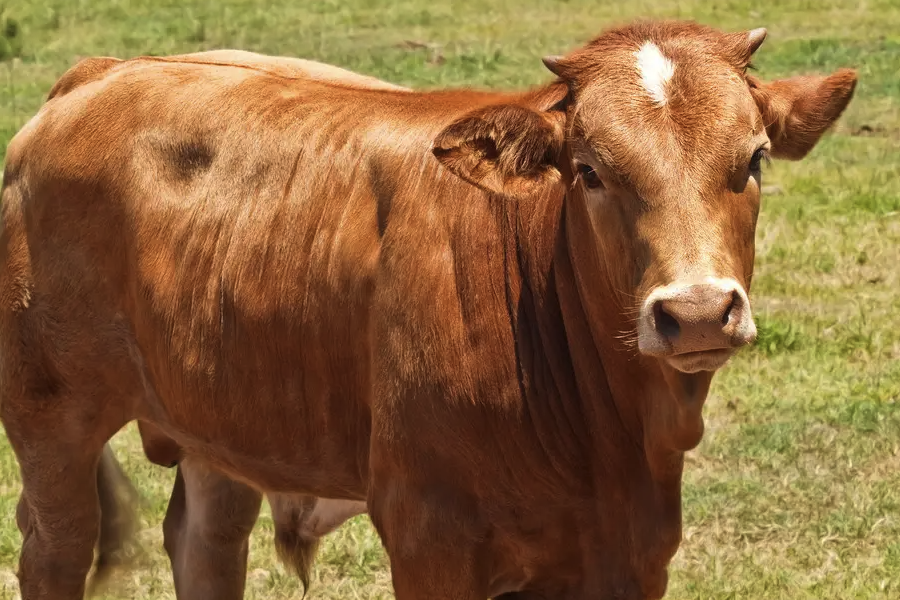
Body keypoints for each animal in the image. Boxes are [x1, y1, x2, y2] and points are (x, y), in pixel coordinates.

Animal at [1, 18, 856, 600]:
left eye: (754, 158)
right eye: (589, 169)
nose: (700, 311)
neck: (610, 441)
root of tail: (101, 73)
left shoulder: (633, 551)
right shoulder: (430, 537)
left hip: (223, 418)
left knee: (205, 544)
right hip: (51, 419)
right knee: (56, 549)